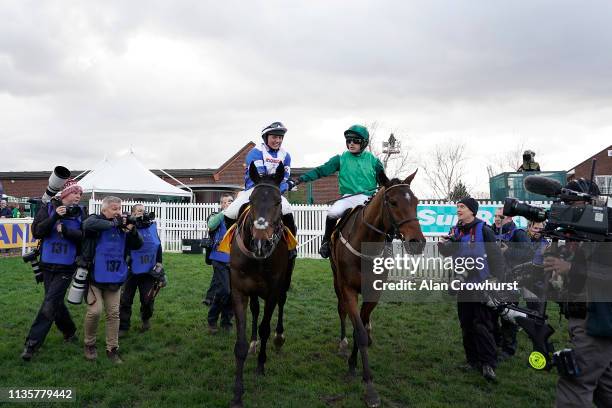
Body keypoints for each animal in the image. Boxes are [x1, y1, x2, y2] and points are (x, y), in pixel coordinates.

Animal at [231, 161, 296, 408]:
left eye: (278, 201)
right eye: (251, 200)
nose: (261, 243)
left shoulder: (272, 290)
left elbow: (265, 327)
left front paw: (261, 364)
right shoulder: (239, 290)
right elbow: (240, 343)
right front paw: (237, 393)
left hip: (286, 279)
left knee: (282, 303)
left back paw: (278, 338)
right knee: (255, 309)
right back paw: (253, 343)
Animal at [330, 170, 426, 408]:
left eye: (416, 201)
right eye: (392, 202)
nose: (417, 242)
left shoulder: (374, 292)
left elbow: (362, 328)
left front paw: (355, 364)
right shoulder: (348, 289)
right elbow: (358, 331)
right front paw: (368, 385)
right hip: (337, 280)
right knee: (341, 310)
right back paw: (343, 342)